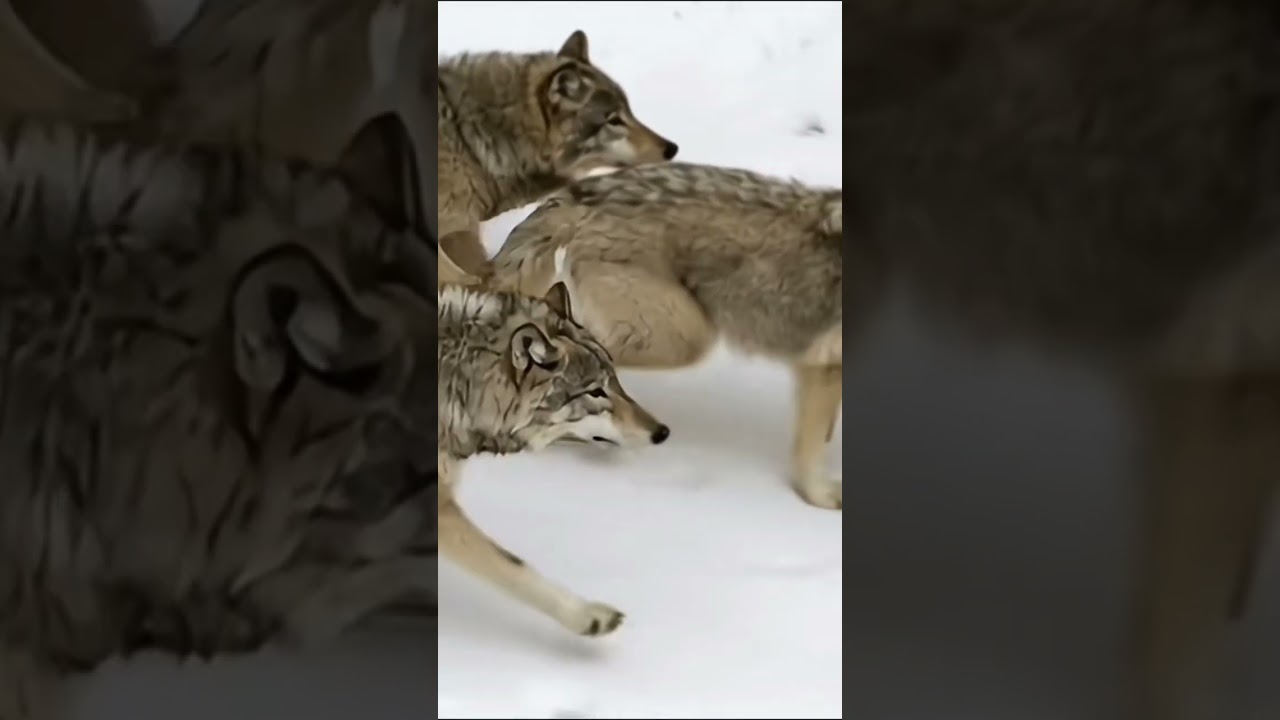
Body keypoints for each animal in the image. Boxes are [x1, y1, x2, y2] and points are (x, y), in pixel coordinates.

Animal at [438, 280, 670, 637]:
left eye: (616, 381)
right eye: (596, 391)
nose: (662, 432)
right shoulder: (441, 511)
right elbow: (516, 567)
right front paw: (588, 616)